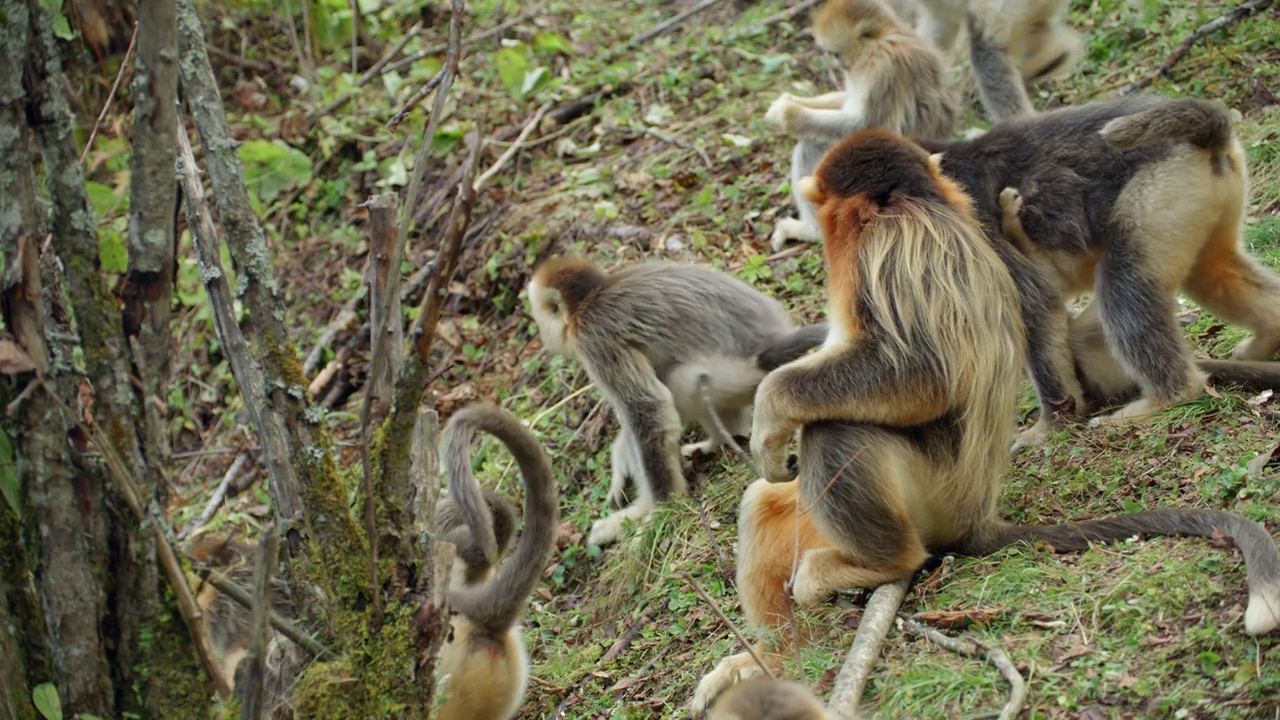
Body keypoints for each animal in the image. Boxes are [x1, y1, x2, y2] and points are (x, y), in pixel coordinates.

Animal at [527, 254, 819, 540]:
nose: (541, 336)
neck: (592, 296)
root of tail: (772, 347)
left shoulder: (594, 338)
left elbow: (647, 405)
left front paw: (661, 512)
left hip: (735, 375)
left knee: (674, 387)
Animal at [696, 130, 1280, 712]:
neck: (924, 202)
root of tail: (979, 515)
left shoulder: (897, 242)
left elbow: (923, 373)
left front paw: (772, 409)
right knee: (763, 501)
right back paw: (774, 658)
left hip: (936, 500)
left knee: (836, 432)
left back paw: (884, 563)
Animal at [762, 0, 957, 251]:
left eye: (836, 53)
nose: (840, 64)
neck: (886, 36)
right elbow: (846, 103)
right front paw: (792, 101)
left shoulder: (883, 68)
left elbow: (867, 125)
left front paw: (789, 114)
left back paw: (813, 232)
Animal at [916, 92, 1280, 445]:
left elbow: (1037, 307)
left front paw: (1051, 424)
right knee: (1212, 273)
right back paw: (1268, 335)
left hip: (1161, 190)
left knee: (1124, 285)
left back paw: (1169, 398)